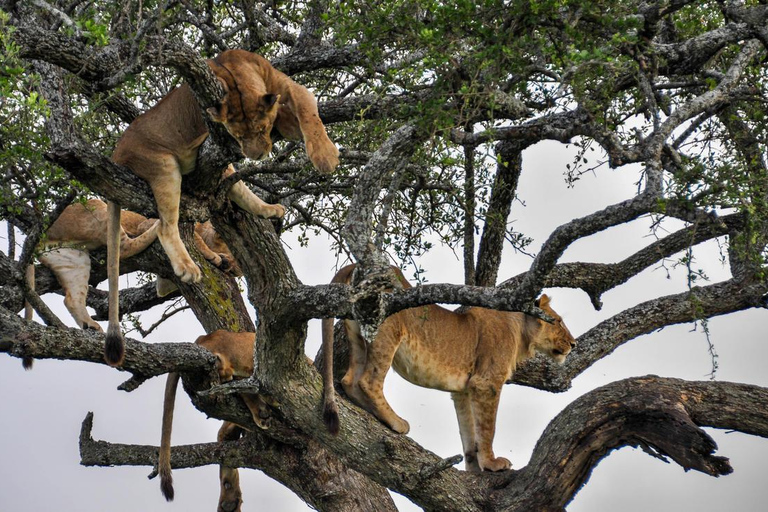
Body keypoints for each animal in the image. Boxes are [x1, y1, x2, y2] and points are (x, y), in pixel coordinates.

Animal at [105, 49, 340, 364]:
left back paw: (267, 210)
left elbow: (306, 111)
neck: (234, 72)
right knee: (167, 226)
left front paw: (322, 151)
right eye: (235, 136)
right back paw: (188, 268)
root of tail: (117, 153)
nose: (255, 154)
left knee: (236, 190)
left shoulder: (286, 92)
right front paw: (326, 157)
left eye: (262, 129)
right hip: (164, 166)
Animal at [322, 264, 576, 472]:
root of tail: (355, 265)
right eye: (559, 322)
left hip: (356, 336)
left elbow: (469, 432)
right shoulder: (486, 383)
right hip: (388, 333)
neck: (521, 332)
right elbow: (487, 427)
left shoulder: (463, 391)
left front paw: (475, 469)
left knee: (349, 380)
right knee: (368, 381)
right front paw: (492, 464)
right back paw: (396, 422)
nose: (573, 344)